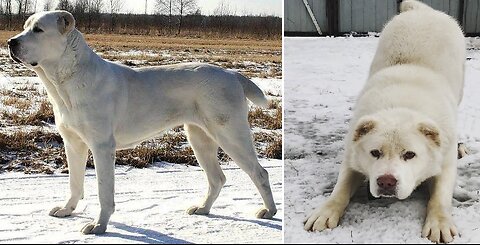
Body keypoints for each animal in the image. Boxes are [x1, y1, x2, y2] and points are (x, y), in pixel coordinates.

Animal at [8, 10, 278, 234]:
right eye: (25, 27)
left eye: (38, 30)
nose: (11, 42)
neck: (65, 82)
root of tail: (232, 74)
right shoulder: (73, 144)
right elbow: (75, 183)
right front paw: (67, 210)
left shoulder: (102, 147)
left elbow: (104, 191)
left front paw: (99, 225)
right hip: (199, 138)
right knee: (217, 178)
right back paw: (203, 208)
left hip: (230, 134)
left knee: (260, 173)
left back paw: (269, 211)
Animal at [304, 0, 464, 243]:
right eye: (375, 153)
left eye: (410, 155)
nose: (386, 182)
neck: (402, 105)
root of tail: (422, 11)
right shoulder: (352, 155)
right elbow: (340, 188)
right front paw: (325, 212)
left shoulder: (445, 161)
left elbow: (440, 196)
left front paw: (439, 222)